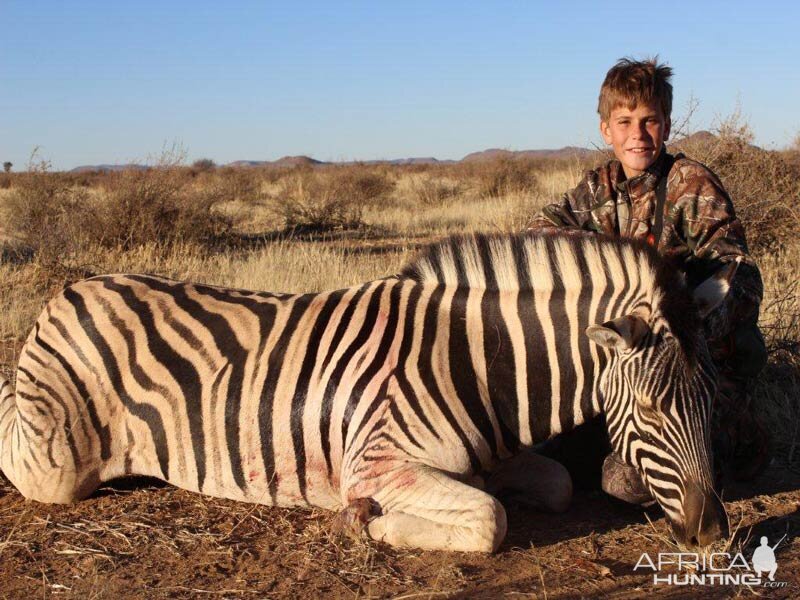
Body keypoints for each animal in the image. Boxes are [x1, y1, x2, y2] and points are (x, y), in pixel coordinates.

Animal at [0, 232, 732, 552]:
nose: (713, 534)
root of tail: (70, 288)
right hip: (55, 466)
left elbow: (551, 484)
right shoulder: (376, 462)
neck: (479, 363)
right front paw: (365, 521)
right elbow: (489, 522)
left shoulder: (491, 457)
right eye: (650, 409)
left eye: (711, 402)